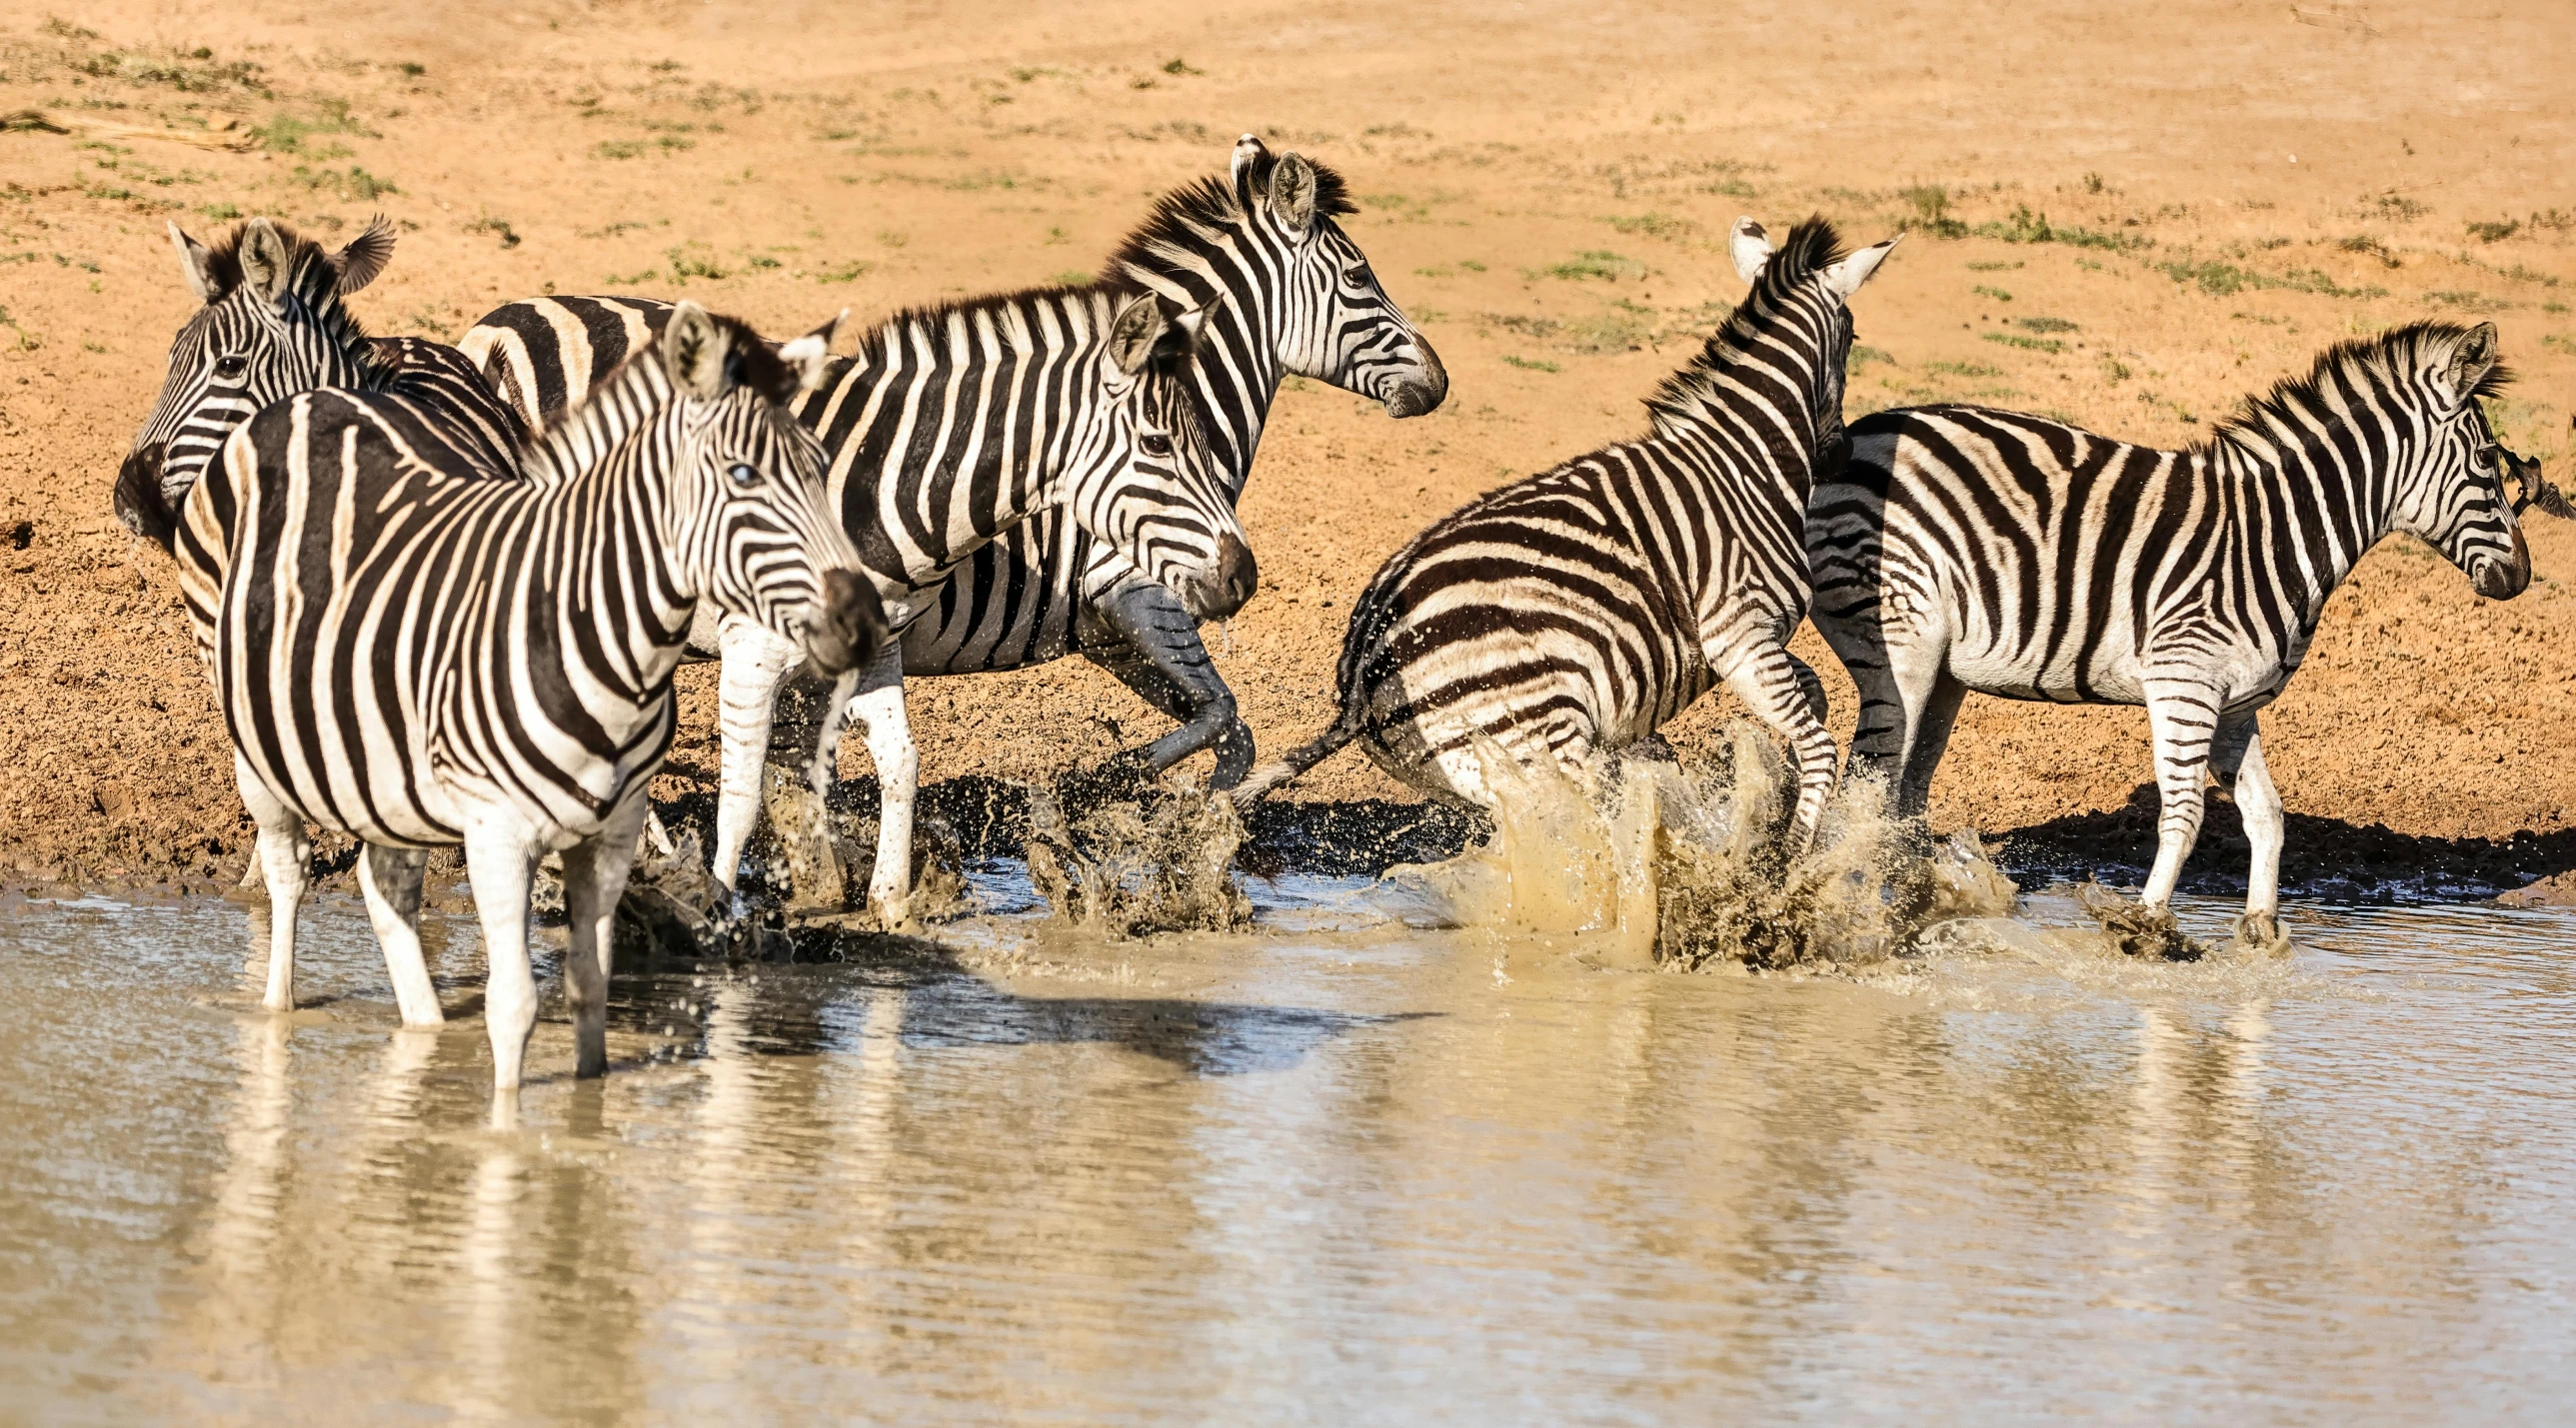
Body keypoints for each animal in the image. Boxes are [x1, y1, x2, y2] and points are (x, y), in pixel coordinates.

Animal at [203, 305, 886, 1095]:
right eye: (743, 475)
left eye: (820, 467)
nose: (863, 619)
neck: (600, 634)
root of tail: (316, 396)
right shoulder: (498, 831)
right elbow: (514, 1006)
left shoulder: (611, 834)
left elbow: (589, 987)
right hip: (258, 746)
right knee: (287, 879)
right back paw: (278, 1019)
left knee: (385, 884)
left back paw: (424, 1027)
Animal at [463, 283, 1247, 920]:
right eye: (1158, 444)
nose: (1244, 575)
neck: (875, 486)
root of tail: (496, 326)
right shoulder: (751, 652)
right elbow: (741, 796)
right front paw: (714, 910)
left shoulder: (879, 644)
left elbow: (899, 765)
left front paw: (889, 900)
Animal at [1236, 214, 1905, 848]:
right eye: (1854, 340)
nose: (1841, 455)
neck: (1746, 459)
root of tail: (1357, 685)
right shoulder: (1739, 632)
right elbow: (1819, 748)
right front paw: (1788, 859)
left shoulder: (1753, 641)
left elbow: (1814, 693)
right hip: (1548, 737)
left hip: (1490, 771)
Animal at [1802, 319, 2545, 956]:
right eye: (2488, 459)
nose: (2522, 576)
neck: (2275, 539)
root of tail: (1853, 436)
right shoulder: (2184, 683)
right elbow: (2183, 816)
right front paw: (2147, 924)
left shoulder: (2235, 704)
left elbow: (2267, 814)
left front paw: (2260, 932)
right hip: (1901, 641)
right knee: (1867, 782)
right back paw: (1839, 904)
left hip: (1944, 671)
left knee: (1904, 788)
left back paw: (1913, 903)